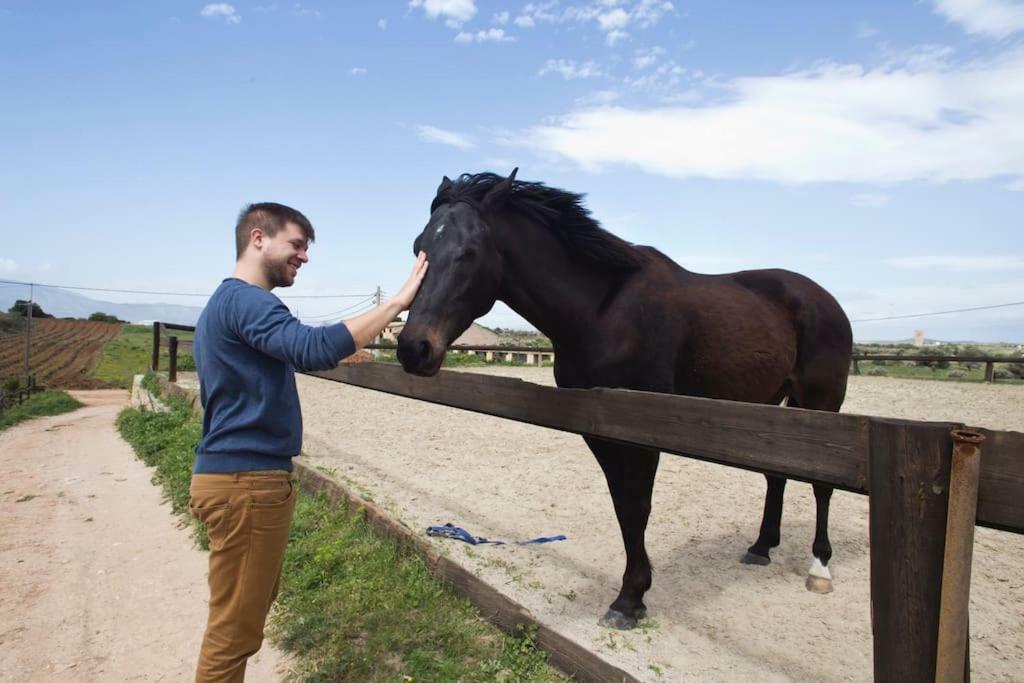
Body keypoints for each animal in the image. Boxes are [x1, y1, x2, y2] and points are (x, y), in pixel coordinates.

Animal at [395, 171, 851, 630]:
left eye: (469, 252)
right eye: (419, 247)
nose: (414, 348)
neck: (603, 311)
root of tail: (825, 300)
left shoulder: (643, 432)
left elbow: (637, 508)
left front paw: (630, 599)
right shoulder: (601, 431)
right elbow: (622, 507)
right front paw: (632, 593)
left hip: (821, 404)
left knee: (822, 486)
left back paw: (819, 568)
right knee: (776, 475)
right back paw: (761, 547)